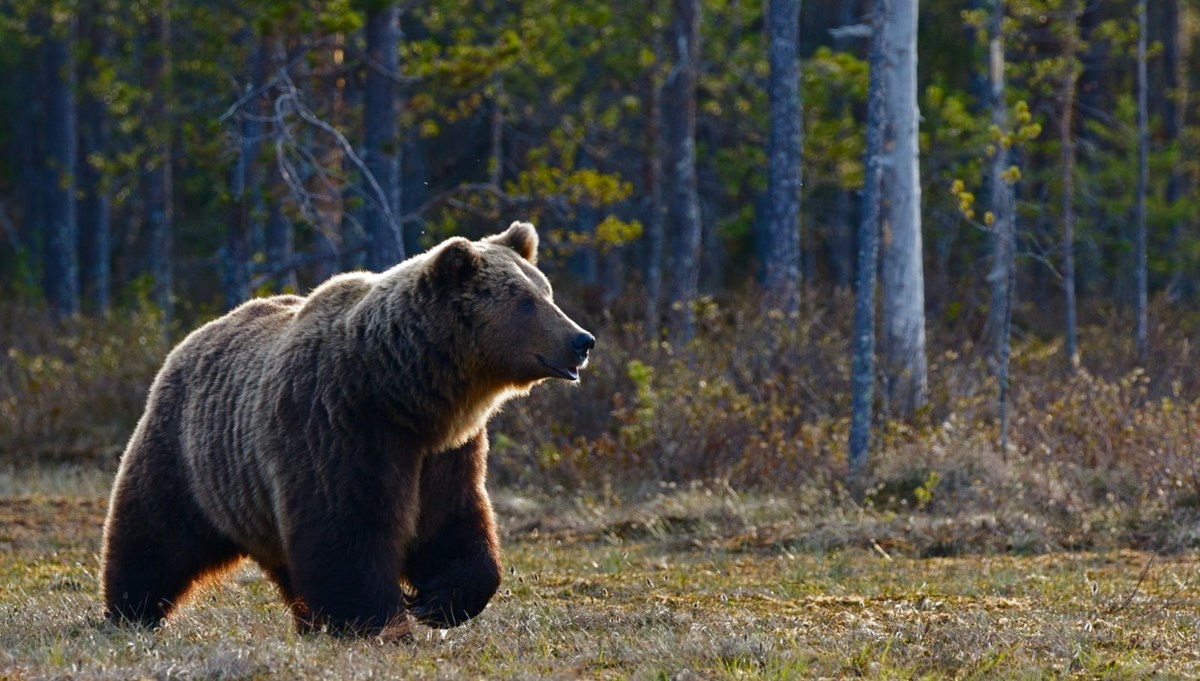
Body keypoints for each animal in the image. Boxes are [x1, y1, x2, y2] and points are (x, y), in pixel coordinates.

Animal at [99, 223, 595, 637]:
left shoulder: (446, 451)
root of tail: (192, 337)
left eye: (546, 291)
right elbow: (347, 529)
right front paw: (379, 620)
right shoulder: (338, 425)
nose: (582, 340)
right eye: (525, 301)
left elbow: (452, 521)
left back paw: (307, 621)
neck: (405, 393)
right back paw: (130, 611)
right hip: (189, 455)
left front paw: (438, 601)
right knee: (154, 534)